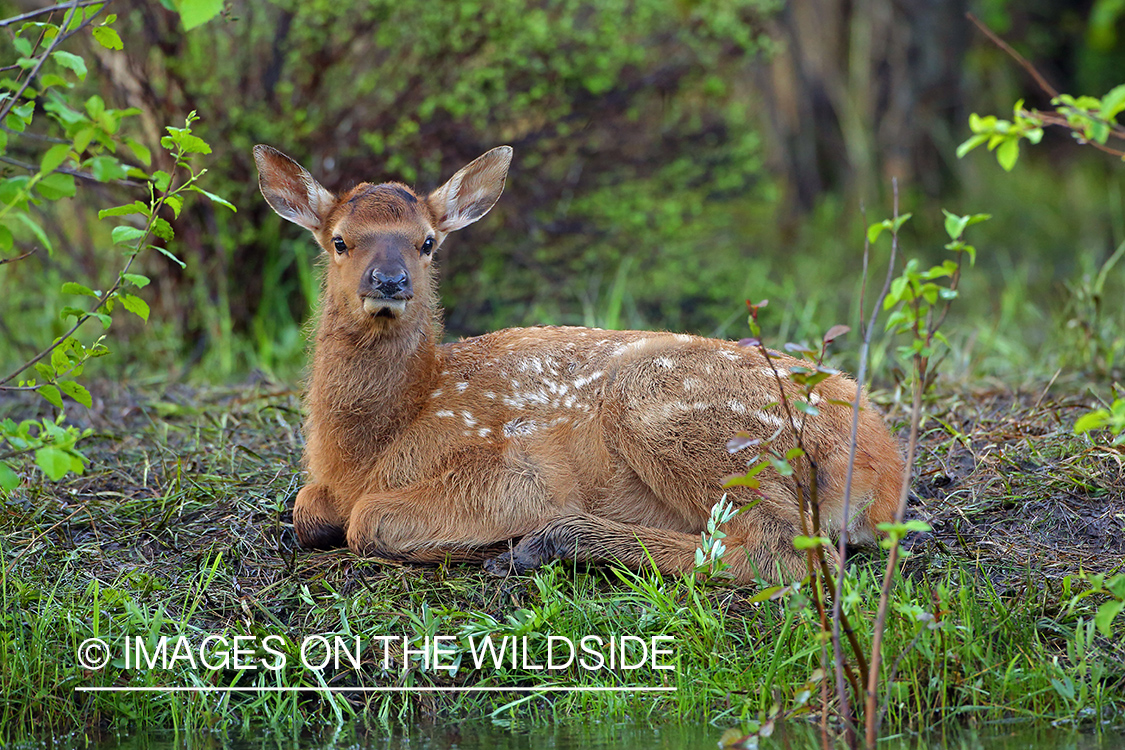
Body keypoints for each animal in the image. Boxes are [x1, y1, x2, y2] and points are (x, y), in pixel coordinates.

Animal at [257, 143, 904, 584]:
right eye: (340, 240)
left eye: (427, 243)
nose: (389, 281)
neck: (369, 447)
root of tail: (886, 473)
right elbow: (306, 509)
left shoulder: (518, 472)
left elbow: (367, 521)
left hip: (674, 412)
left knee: (784, 554)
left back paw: (544, 544)